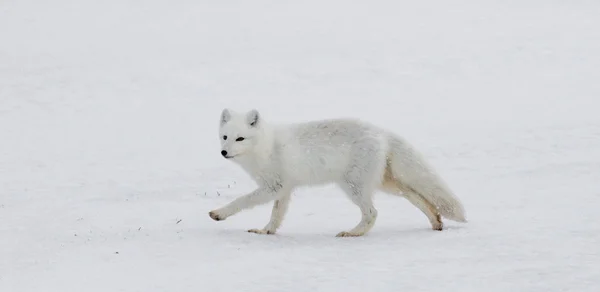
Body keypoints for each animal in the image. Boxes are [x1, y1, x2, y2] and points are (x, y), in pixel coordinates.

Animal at [209, 108, 466, 236]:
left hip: (353, 186)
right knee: (418, 198)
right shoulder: (284, 189)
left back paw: (353, 234)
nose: (223, 152)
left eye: (240, 138)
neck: (265, 147)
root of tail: (380, 131)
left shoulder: (273, 186)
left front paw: (219, 214)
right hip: (387, 184)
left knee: (372, 213)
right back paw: (436, 222)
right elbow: (276, 215)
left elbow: (242, 200)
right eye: (225, 136)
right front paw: (266, 231)